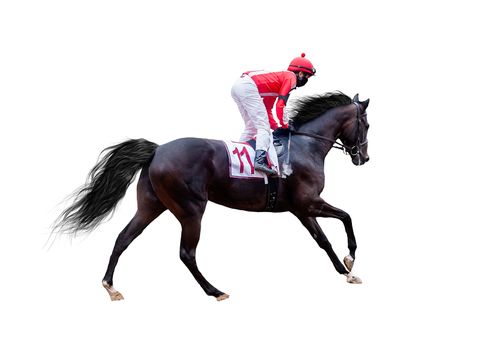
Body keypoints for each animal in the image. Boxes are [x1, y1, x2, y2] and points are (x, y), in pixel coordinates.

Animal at [57, 91, 372, 300]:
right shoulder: (308, 203)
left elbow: (324, 241)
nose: (364, 158)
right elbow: (347, 217)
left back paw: (110, 286)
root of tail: (157, 150)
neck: (306, 147)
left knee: (123, 238)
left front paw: (347, 271)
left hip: (150, 205)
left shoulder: (302, 210)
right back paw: (215, 290)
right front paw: (351, 258)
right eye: (367, 125)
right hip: (191, 210)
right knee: (186, 253)